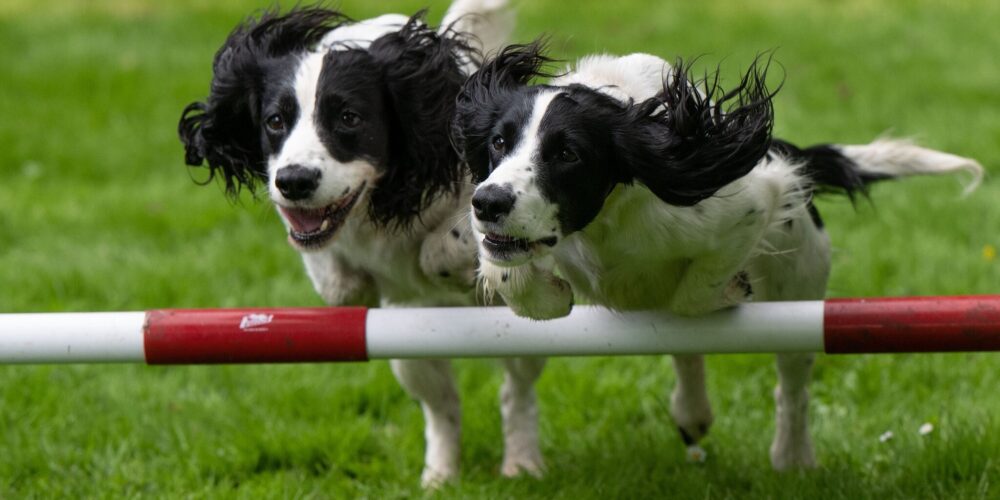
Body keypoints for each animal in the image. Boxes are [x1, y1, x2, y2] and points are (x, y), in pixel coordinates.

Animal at [174, 2, 548, 488]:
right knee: (443, 406)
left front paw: (452, 265)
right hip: (410, 349)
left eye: (349, 117)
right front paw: (354, 278)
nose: (294, 180)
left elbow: (450, 242)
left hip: (518, 331)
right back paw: (439, 478)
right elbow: (334, 279)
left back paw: (522, 464)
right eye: (275, 120)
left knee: (515, 391)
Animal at [450, 44, 980, 468]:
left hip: (802, 288)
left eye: (568, 154)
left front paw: (730, 288)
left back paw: (792, 457)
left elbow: (694, 294)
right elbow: (512, 274)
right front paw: (553, 293)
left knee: (791, 383)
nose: (490, 202)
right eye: (499, 141)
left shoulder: (752, 201)